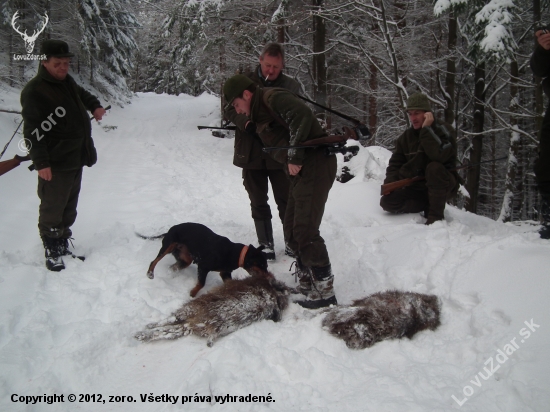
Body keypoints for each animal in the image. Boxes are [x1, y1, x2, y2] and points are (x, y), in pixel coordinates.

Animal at [137, 222, 268, 296]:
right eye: (262, 265)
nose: (268, 277)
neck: (234, 254)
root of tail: (172, 228)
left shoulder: (225, 273)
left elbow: (229, 283)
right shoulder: (203, 267)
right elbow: (201, 283)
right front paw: (192, 294)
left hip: (185, 258)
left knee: (173, 266)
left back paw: (171, 275)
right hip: (169, 246)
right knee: (154, 261)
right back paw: (150, 273)